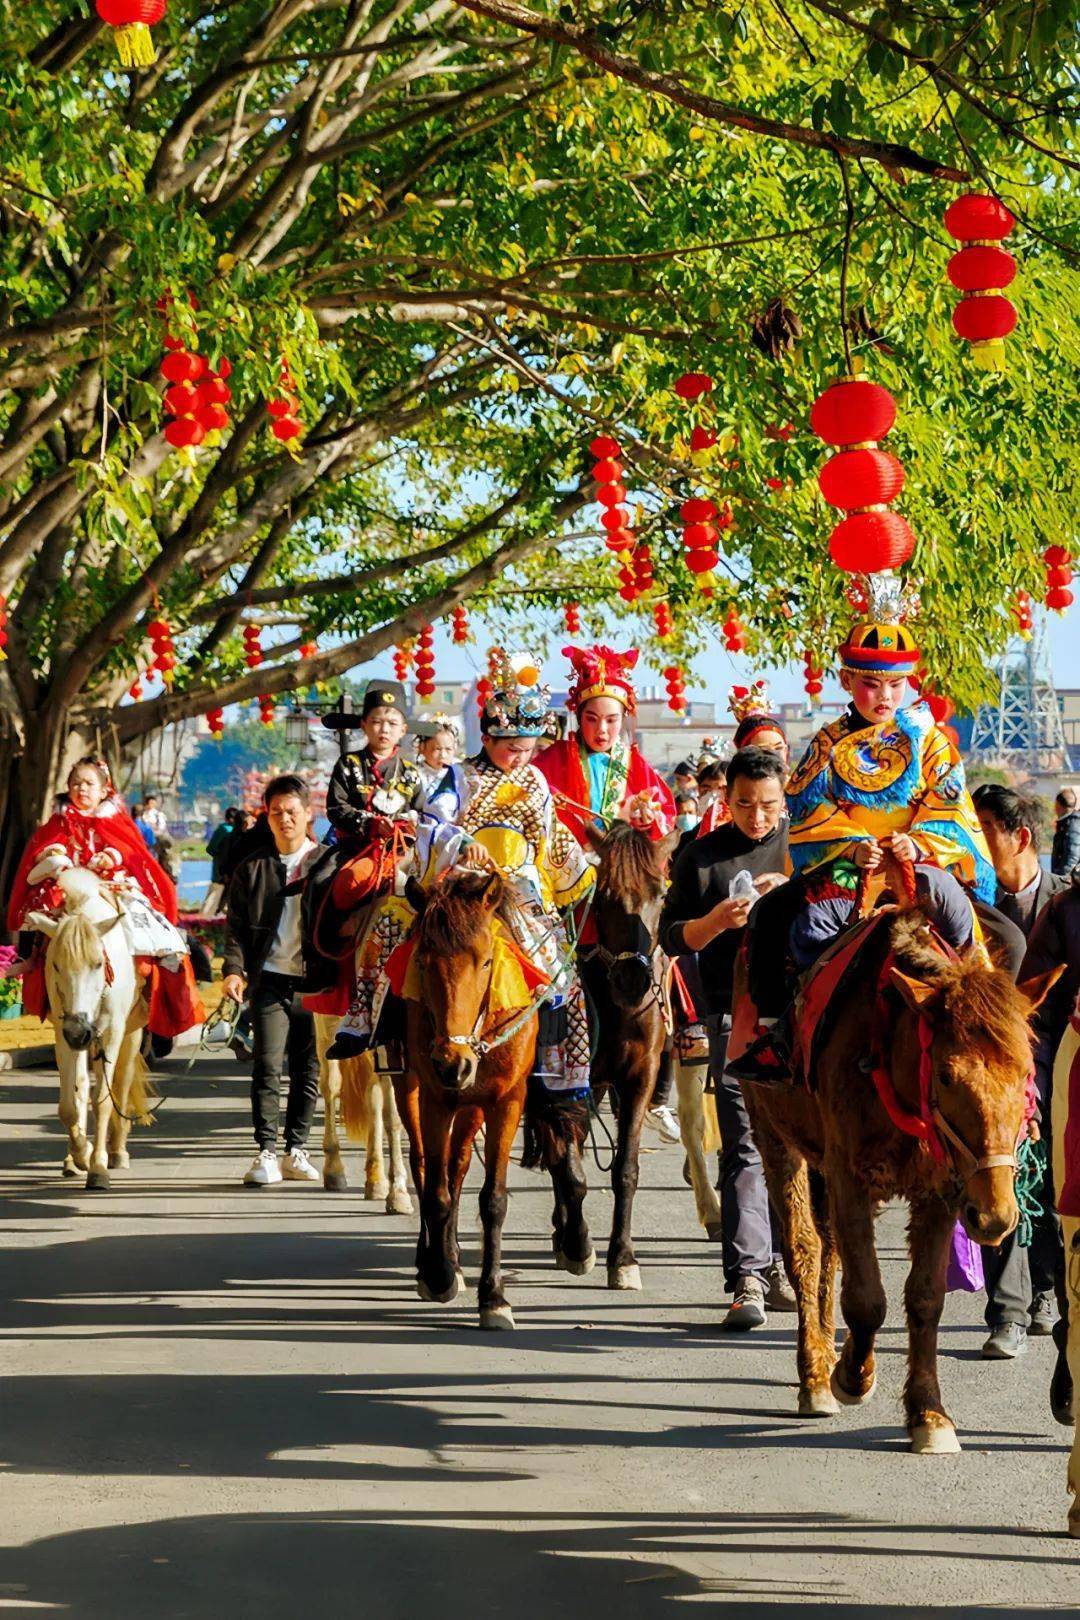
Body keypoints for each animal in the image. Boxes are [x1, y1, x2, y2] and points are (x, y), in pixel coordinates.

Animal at [24, 874, 153, 1192]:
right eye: (56, 965)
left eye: (98, 964)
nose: (79, 1029)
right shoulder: (63, 1034)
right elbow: (70, 1103)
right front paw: (81, 1155)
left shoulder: (112, 1033)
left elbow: (104, 1099)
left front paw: (98, 1167)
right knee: (83, 1085)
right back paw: (75, 1159)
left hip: (130, 1035)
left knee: (121, 1084)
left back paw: (117, 1152)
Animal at [404, 868, 540, 1321]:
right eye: (423, 961)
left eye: (485, 961)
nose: (453, 1063)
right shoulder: (433, 1096)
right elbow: (435, 1190)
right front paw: (439, 1276)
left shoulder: (507, 1101)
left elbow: (492, 1198)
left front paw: (494, 1296)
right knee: (425, 1164)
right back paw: (433, 1257)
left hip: (473, 1105)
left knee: (458, 1163)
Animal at [735, 907, 1055, 1451]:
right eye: (946, 1075)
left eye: (1026, 1073)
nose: (994, 1216)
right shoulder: (849, 1175)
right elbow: (866, 1300)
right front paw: (852, 1376)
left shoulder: (944, 1190)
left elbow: (925, 1298)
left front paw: (929, 1414)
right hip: (774, 1135)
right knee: (806, 1249)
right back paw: (816, 1374)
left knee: (829, 1250)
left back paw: (827, 1347)